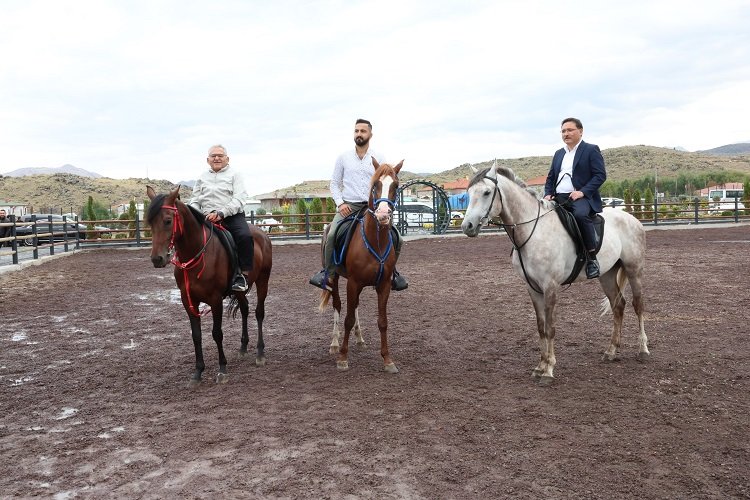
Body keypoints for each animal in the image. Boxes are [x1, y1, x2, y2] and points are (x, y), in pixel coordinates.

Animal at [145, 186, 272, 384]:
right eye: (150, 222)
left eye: (167, 221)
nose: (157, 259)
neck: (198, 252)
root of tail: (263, 235)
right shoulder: (188, 300)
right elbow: (196, 335)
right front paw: (198, 371)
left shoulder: (215, 299)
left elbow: (217, 333)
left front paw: (222, 369)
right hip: (240, 290)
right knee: (245, 309)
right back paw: (243, 348)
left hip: (263, 280)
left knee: (259, 313)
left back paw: (260, 353)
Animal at [462, 162, 648, 384]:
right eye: (468, 193)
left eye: (487, 192)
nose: (467, 226)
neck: (533, 232)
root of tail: (632, 219)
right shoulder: (533, 288)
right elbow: (541, 326)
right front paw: (540, 366)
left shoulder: (550, 286)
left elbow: (550, 327)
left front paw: (549, 370)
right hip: (607, 274)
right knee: (618, 306)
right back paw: (611, 351)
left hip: (634, 269)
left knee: (638, 305)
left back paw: (643, 349)